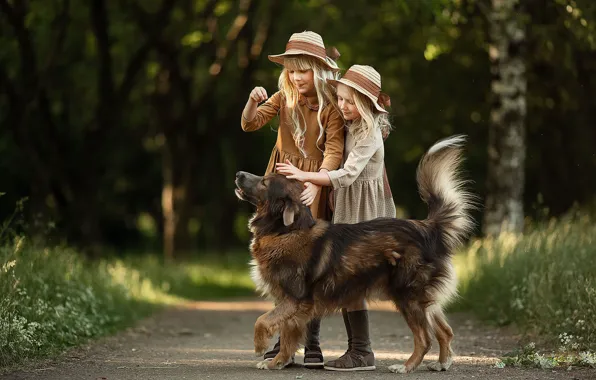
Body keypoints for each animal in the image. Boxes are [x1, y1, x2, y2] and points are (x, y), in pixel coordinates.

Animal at [233, 135, 474, 372]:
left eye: (265, 182)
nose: (238, 174)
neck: (286, 230)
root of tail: (426, 228)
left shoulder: (295, 298)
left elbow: (263, 320)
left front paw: (260, 347)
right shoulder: (291, 302)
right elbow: (286, 335)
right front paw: (278, 361)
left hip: (407, 295)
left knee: (424, 338)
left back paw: (406, 366)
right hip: (422, 298)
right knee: (445, 330)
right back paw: (442, 362)